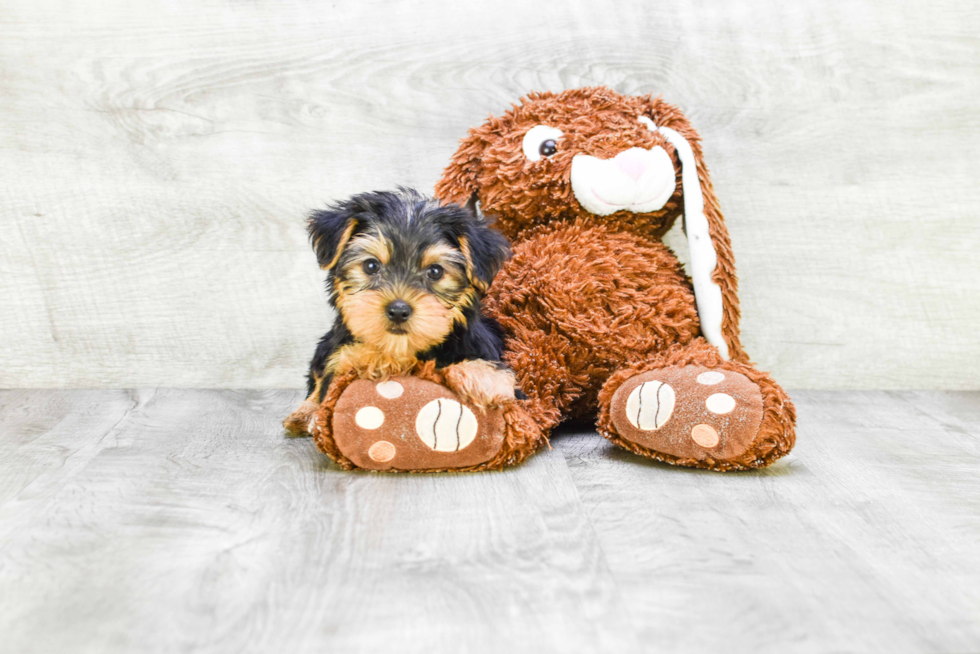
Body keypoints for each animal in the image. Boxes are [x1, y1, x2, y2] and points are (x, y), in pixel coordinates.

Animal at [282, 190, 512, 436]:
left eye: (435, 271)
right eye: (371, 266)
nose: (399, 311)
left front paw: (484, 378)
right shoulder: (339, 356)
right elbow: (341, 367)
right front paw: (368, 358)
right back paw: (303, 413)